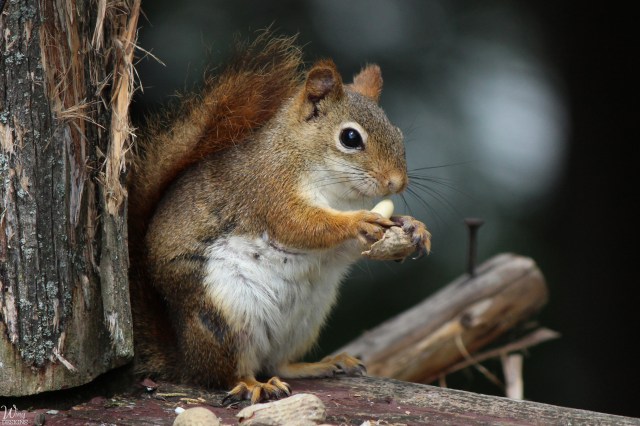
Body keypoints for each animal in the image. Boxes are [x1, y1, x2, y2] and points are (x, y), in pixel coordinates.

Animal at [128, 32, 430, 404]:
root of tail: (186, 360)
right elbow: (300, 225)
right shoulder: (268, 191)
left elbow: (345, 248)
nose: (396, 182)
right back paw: (252, 385)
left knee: (278, 363)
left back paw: (320, 365)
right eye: (350, 138)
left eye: (398, 134)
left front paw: (412, 227)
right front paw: (357, 223)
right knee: (227, 373)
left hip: (307, 317)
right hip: (225, 313)